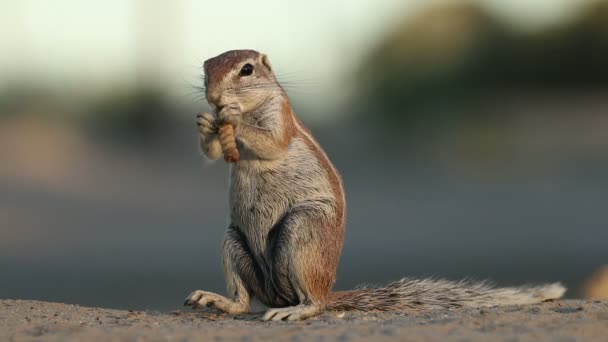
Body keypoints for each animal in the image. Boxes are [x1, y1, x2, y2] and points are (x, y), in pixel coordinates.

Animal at [183, 50, 568, 320]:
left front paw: (231, 115)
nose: (214, 96)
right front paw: (206, 124)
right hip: (234, 241)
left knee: (312, 302)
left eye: (246, 70)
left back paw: (296, 310)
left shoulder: (280, 115)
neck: (252, 107)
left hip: (303, 229)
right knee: (244, 300)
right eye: (206, 69)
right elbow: (213, 150)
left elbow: (271, 141)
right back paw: (220, 301)